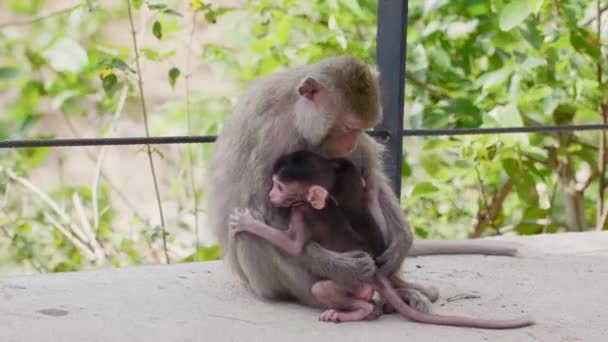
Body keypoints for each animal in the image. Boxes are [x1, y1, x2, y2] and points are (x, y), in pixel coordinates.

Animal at [205, 54, 516, 312]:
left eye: (362, 128)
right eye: (347, 127)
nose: (352, 141)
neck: (295, 112)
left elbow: (370, 174)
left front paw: (403, 242)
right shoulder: (271, 135)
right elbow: (266, 209)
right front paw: (345, 268)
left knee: (364, 187)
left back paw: (401, 288)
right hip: (273, 284)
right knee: (251, 235)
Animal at [229, 152, 536, 328]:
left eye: (280, 186)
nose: (271, 195)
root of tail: (377, 278)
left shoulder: (300, 212)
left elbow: (293, 244)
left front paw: (247, 222)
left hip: (353, 285)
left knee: (324, 288)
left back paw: (360, 310)